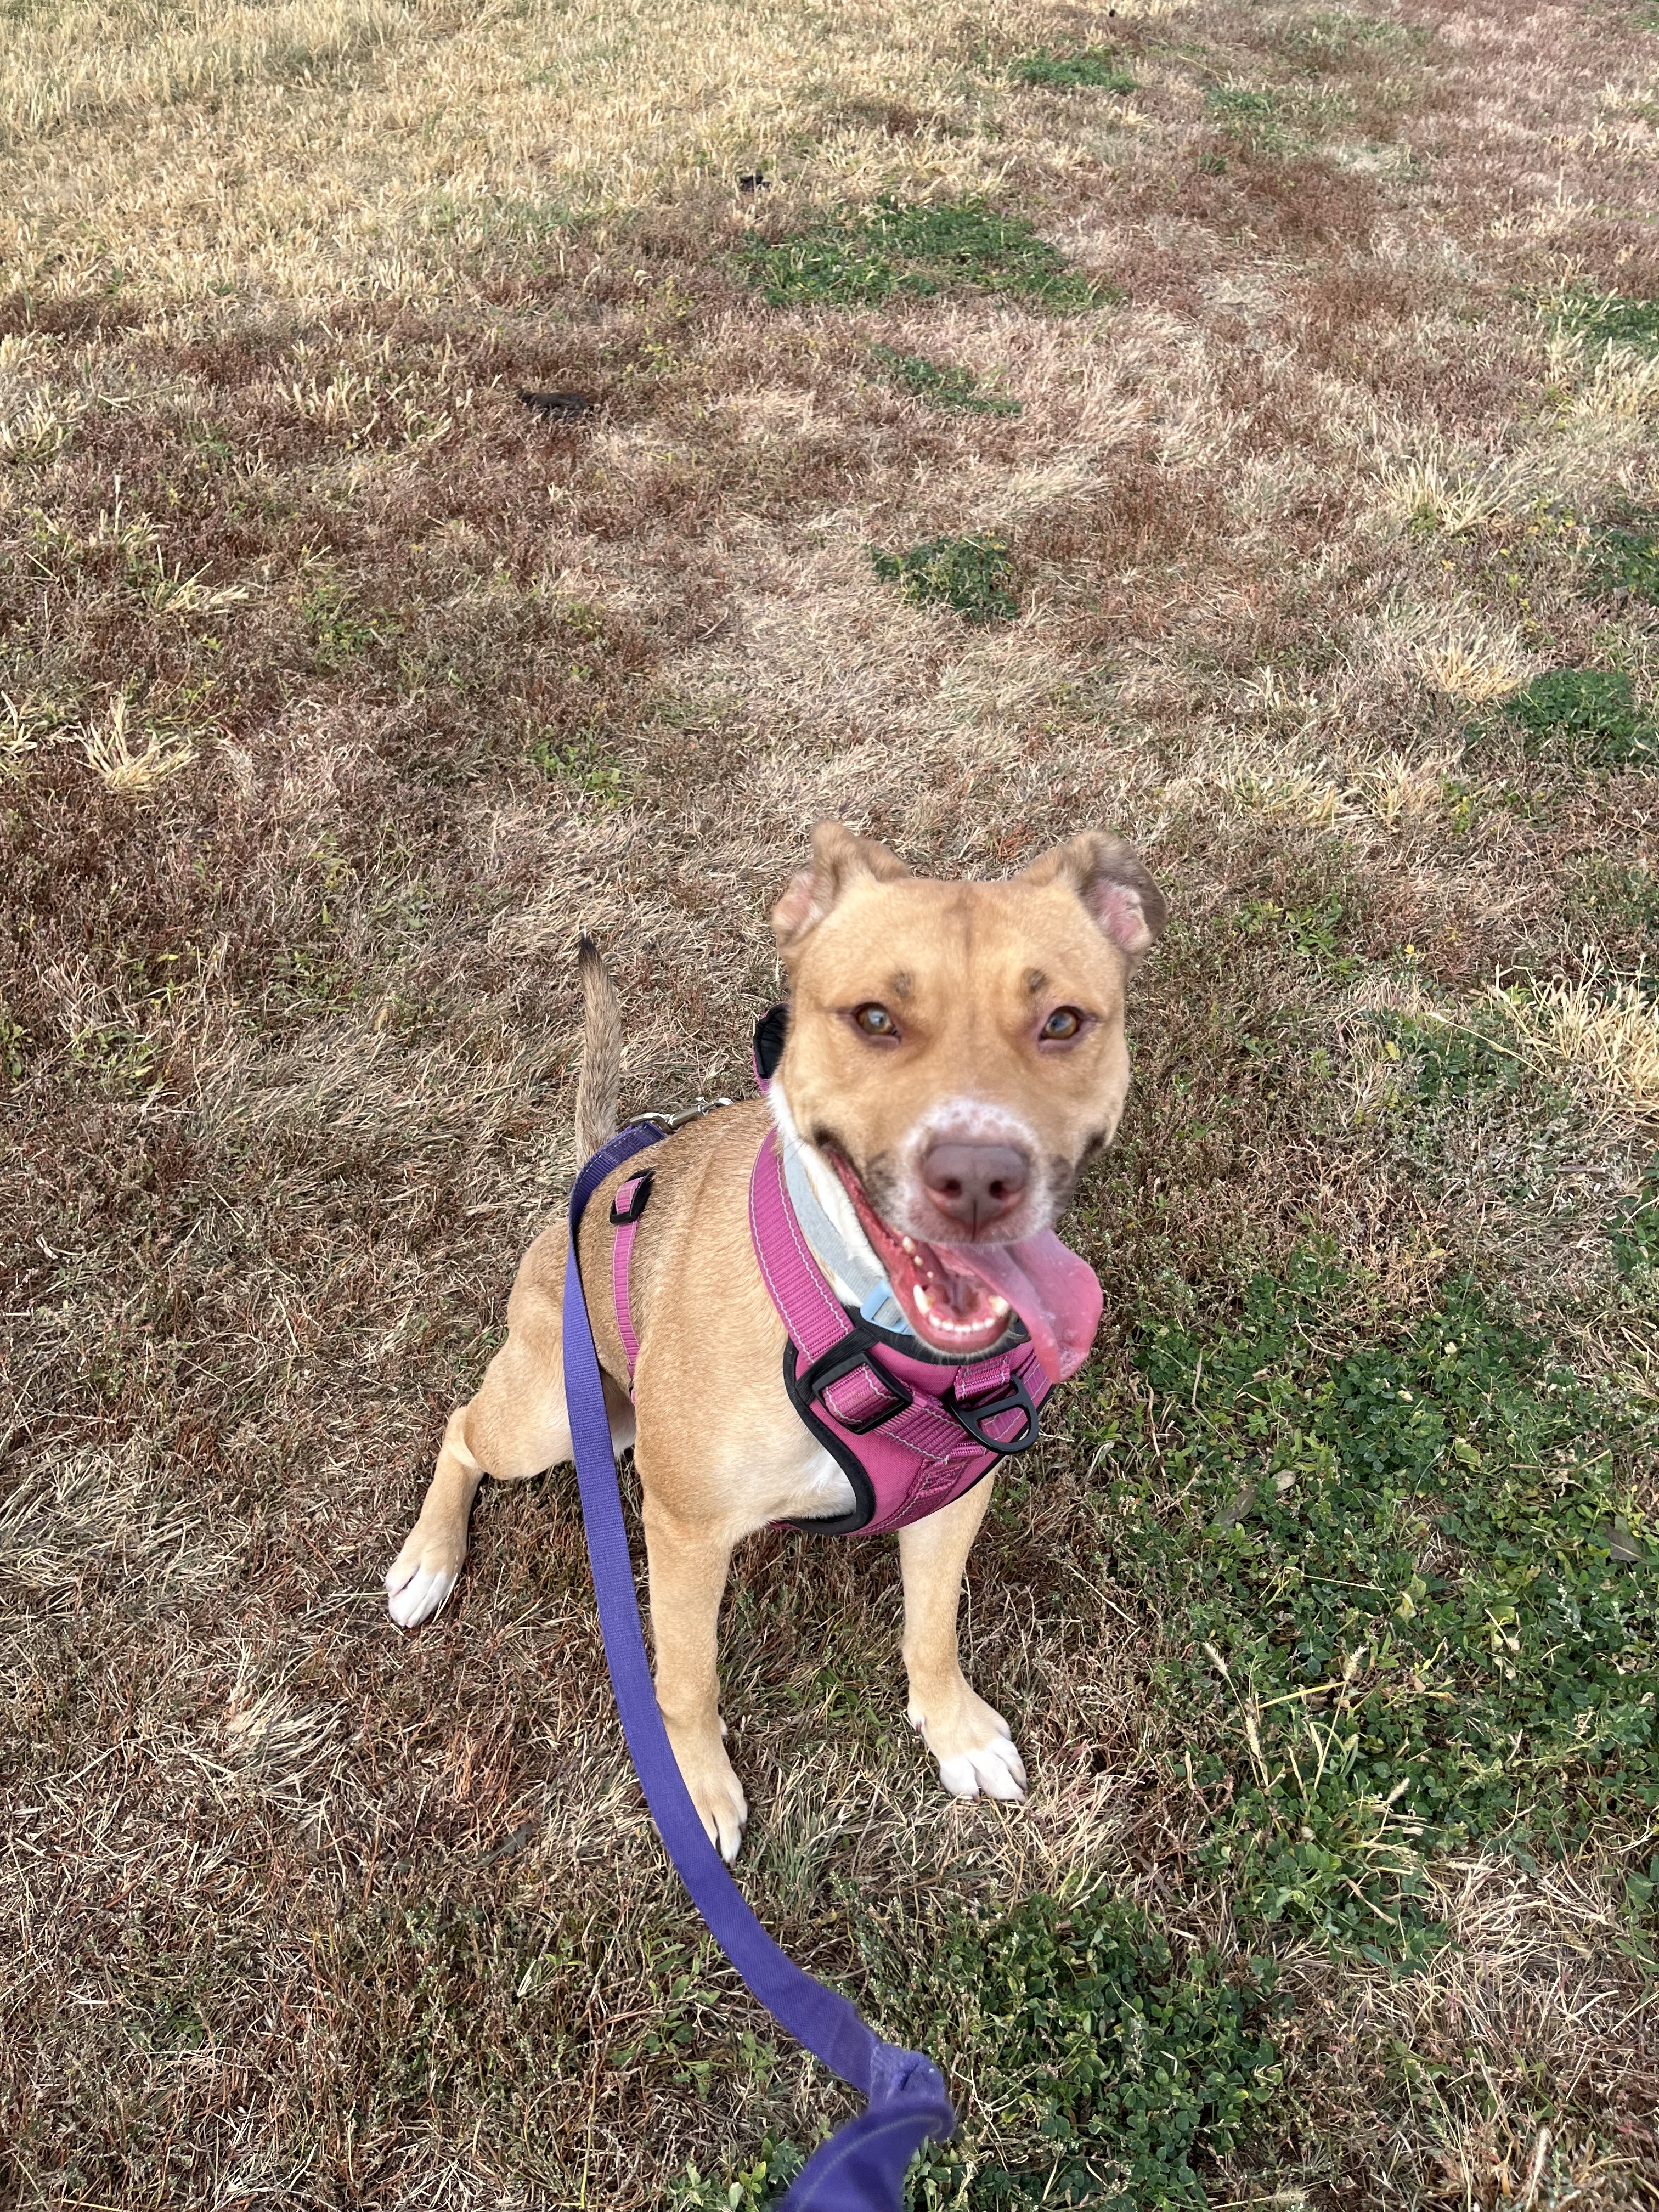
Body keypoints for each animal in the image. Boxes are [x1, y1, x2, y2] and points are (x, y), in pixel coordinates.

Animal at [389, 822, 1167, 1858]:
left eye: (1064, 1023)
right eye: (874, 1018)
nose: (976, 1177)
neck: (860, 1322)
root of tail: (590, 1183)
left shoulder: (954, 1497)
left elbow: (930, 1630)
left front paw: (953, 1729)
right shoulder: (685, 1531)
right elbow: (684, 1680)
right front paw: (695, 1788)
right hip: (552, 1412)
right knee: (462, 1430)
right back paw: (429, 1559)